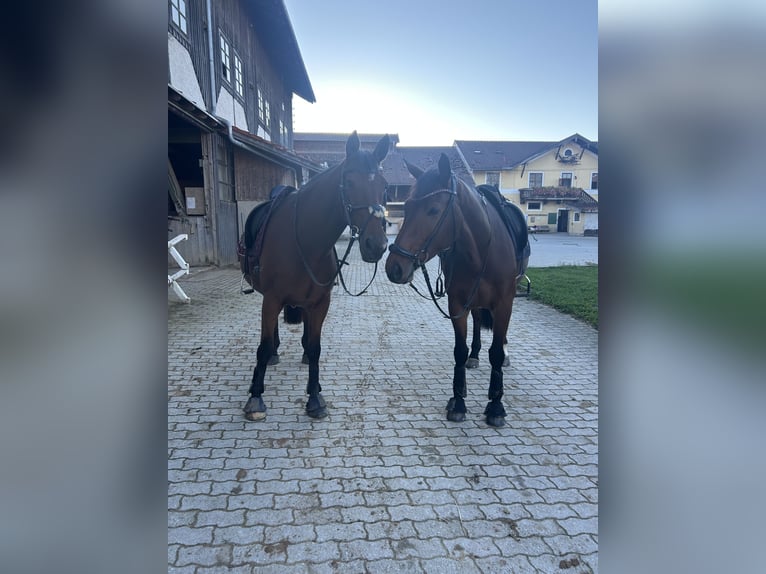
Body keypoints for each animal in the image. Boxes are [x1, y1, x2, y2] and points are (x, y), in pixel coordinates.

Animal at [239, 131, 390, 421]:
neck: (306, 241)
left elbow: (316, 347)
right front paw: (255, 397)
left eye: (383, 186)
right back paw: (274, 354)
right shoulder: (271, 299)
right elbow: (262, 347)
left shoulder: (321, 302)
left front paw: (315, 397)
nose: (376, 245)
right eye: (349, 182)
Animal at [386, 153, 530, 427]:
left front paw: (496, 406)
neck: (482, 250)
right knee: (478, 321)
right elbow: (459, 351)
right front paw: (459, 401)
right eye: (406, 208)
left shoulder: (504, 303)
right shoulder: (457, 303)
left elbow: (496, 352)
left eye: (433, 210)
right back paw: (476, 354)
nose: (394, 267)